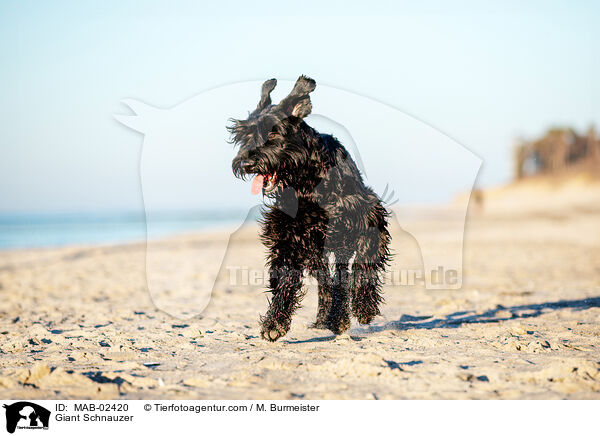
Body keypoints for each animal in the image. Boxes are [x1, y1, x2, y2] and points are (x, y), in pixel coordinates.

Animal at [229, 76, 390, 340]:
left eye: (273, 133)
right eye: (244, 135)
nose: (245, 164)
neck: (306, 183)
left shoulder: (368, 215)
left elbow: (364, 262)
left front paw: (364, 307)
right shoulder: (290, 234)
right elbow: (286, 276)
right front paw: (275, 322)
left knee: (341, 273)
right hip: (317, 251)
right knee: (328, 281)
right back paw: (330, 317)